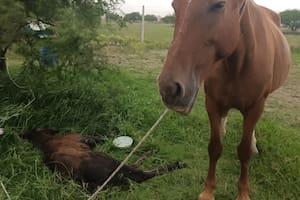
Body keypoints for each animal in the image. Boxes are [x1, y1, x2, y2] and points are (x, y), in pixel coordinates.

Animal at [20, 129, 185, 190]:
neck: (45, 141)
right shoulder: (81, 137)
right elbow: (103, 137)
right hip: (109, 160)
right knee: (139, 174)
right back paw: (175, 164)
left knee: (135, 167)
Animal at [158, 0, 292, 200]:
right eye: (175, 6)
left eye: (220, 4)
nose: (169, 89)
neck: (238, 63)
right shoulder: (213, 103)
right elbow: (214, 147)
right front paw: (208, 191)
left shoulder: (255, 107)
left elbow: (244, 151)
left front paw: (243, 193)